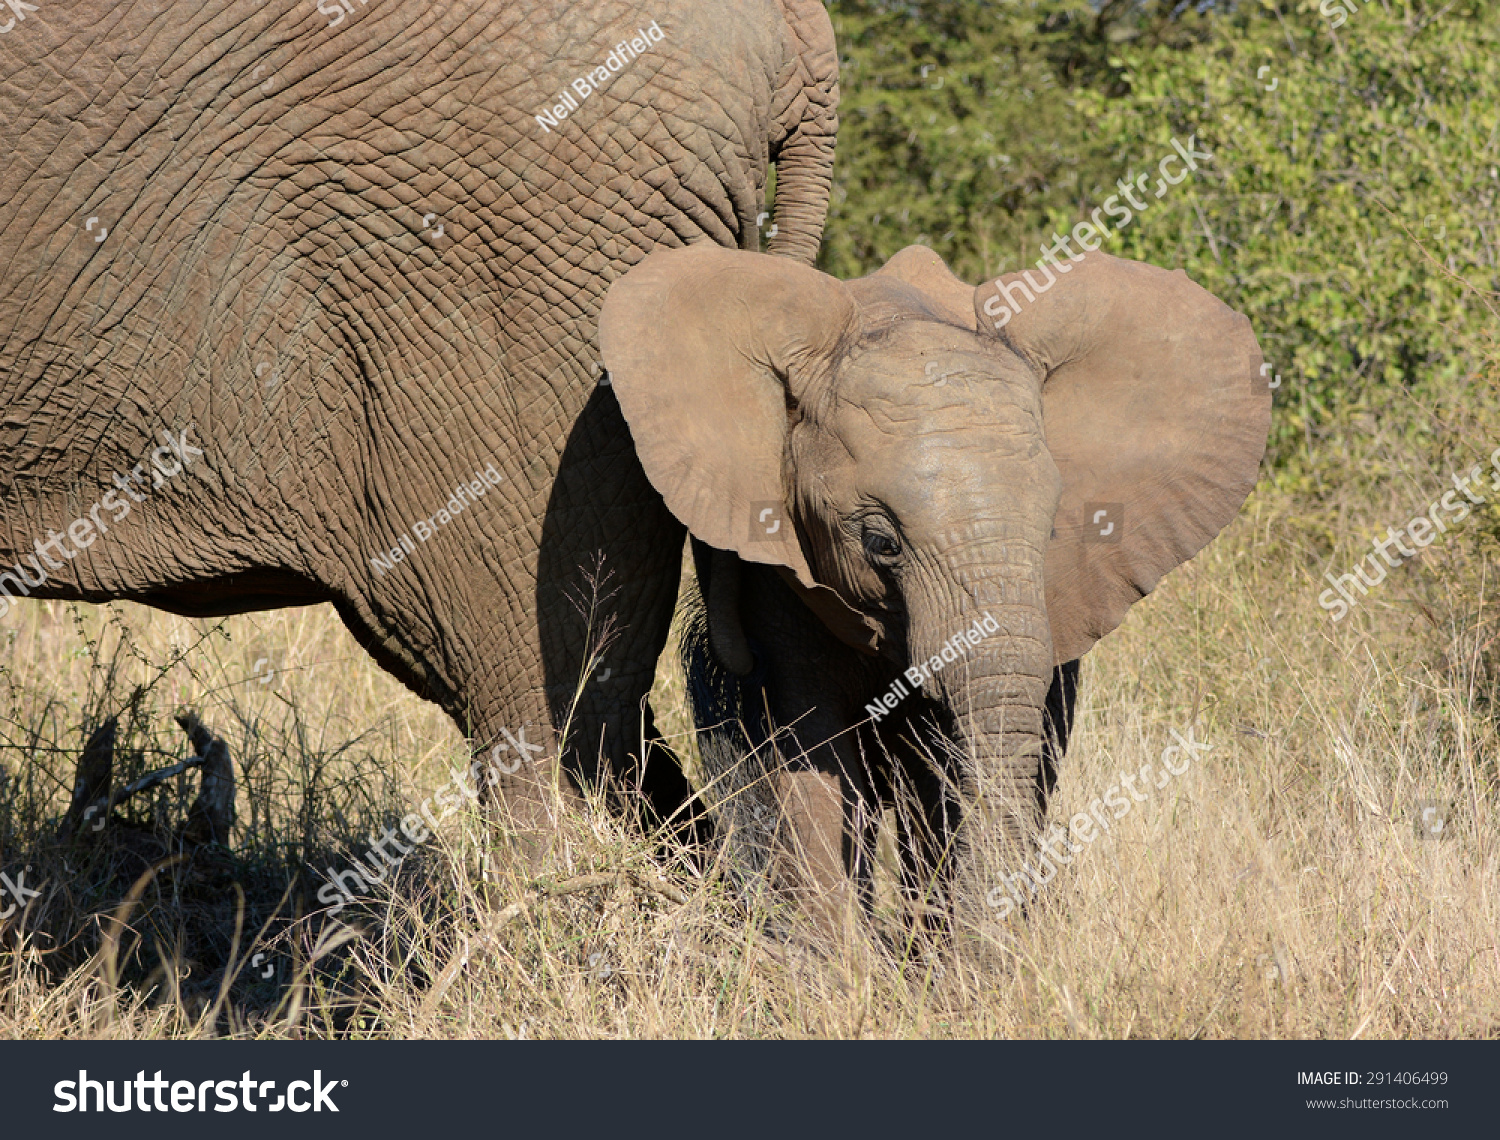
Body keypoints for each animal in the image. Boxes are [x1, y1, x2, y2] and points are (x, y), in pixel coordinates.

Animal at [603, 240, 1272, 936]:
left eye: (1051, 530)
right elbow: (807, 748)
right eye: (880, 542)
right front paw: (838, 962)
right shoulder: (776, 579)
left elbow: (953, 763)